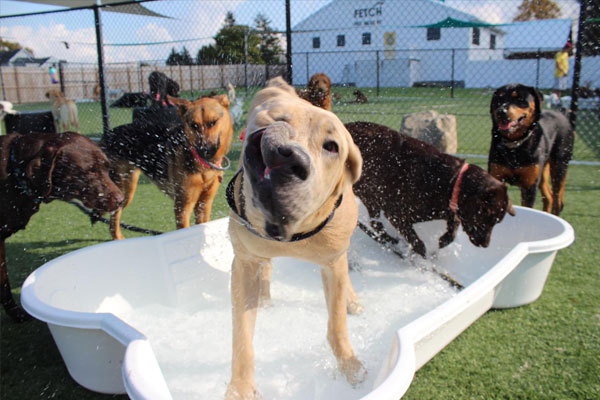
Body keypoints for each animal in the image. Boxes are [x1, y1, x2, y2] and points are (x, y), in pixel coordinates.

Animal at [102, 95, 233, 239]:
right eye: (194, 125)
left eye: (213, 122)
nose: (204, 151)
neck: (204, 168)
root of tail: (107, 135)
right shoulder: (182, 207)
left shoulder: (204, 204)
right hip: (123, 190)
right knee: (113, 215)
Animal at [225, 76, 364, 398]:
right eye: (279, 119)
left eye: (331, 146)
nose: (288, 156)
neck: (293, 234)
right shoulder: (243, 264)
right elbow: (242, 337)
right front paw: (240, 387)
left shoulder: (333, 262)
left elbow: (337, 323)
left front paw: (349, 365)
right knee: (266, 267)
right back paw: (264, 295)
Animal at [346, 122, 516, 258]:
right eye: (487, 218)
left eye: (497, 222)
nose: (485, 244)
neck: (450, 182)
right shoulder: (396, 214)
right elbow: (417, 242)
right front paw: (421, 257)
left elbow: (450, 233)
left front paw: (440, 243)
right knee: (376, 225)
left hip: (370, 197)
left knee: (376, 224)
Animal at [490, 82, 576, 216]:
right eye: (499, 98)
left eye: (520, 99)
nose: (501, 111)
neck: (515, 146)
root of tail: (561, 114)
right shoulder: (496, 176)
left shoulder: (529, 185)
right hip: (543, 169)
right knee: (549, 197)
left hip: (560, 164)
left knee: (557, 200)